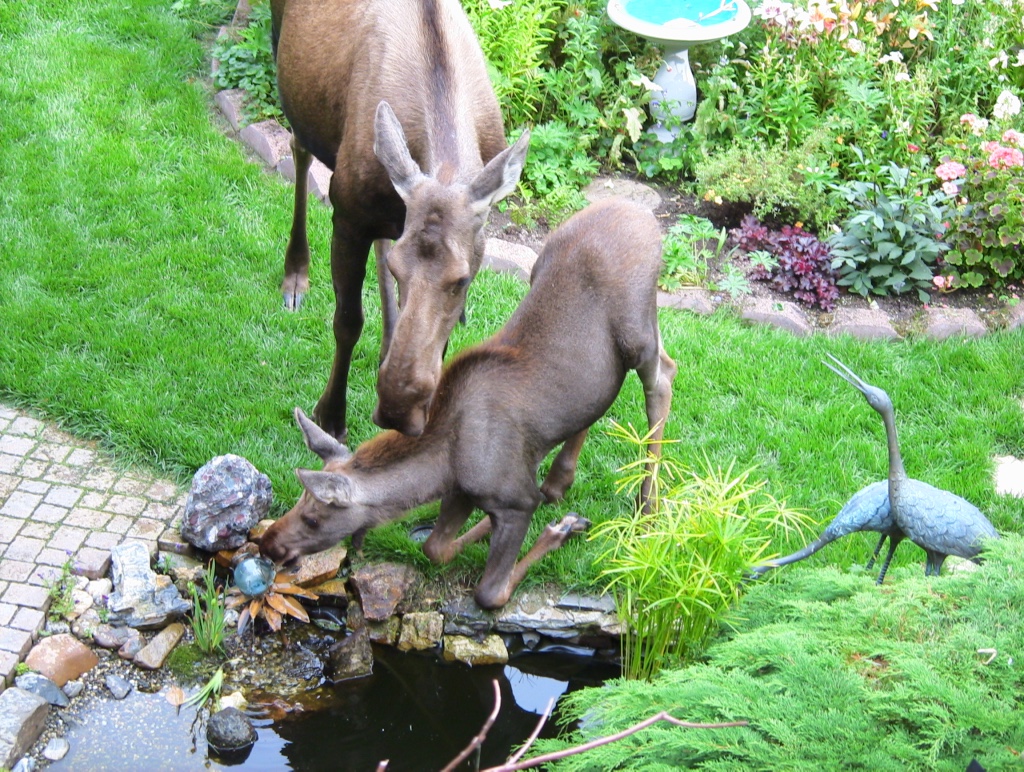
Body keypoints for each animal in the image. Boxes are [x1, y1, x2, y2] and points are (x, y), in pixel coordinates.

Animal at [262, 198, 679, 606]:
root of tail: (643, 214)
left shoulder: (514, 499)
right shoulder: (462, 491)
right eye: (298, 502)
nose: (268, 544)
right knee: (607, 391)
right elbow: (436, 548)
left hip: (638, 332)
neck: (442, 463)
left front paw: (561, 529)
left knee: (663, 377)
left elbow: (490, 592)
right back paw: (559, 481)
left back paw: (648, 507)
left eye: (315, 518)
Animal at [268, 0, 532, 438]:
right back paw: (296, 276)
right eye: (397, 270)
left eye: (463, 280)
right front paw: (330, 415)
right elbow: (347, 321)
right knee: (297, 146)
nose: (395, 406)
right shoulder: (347, 215)